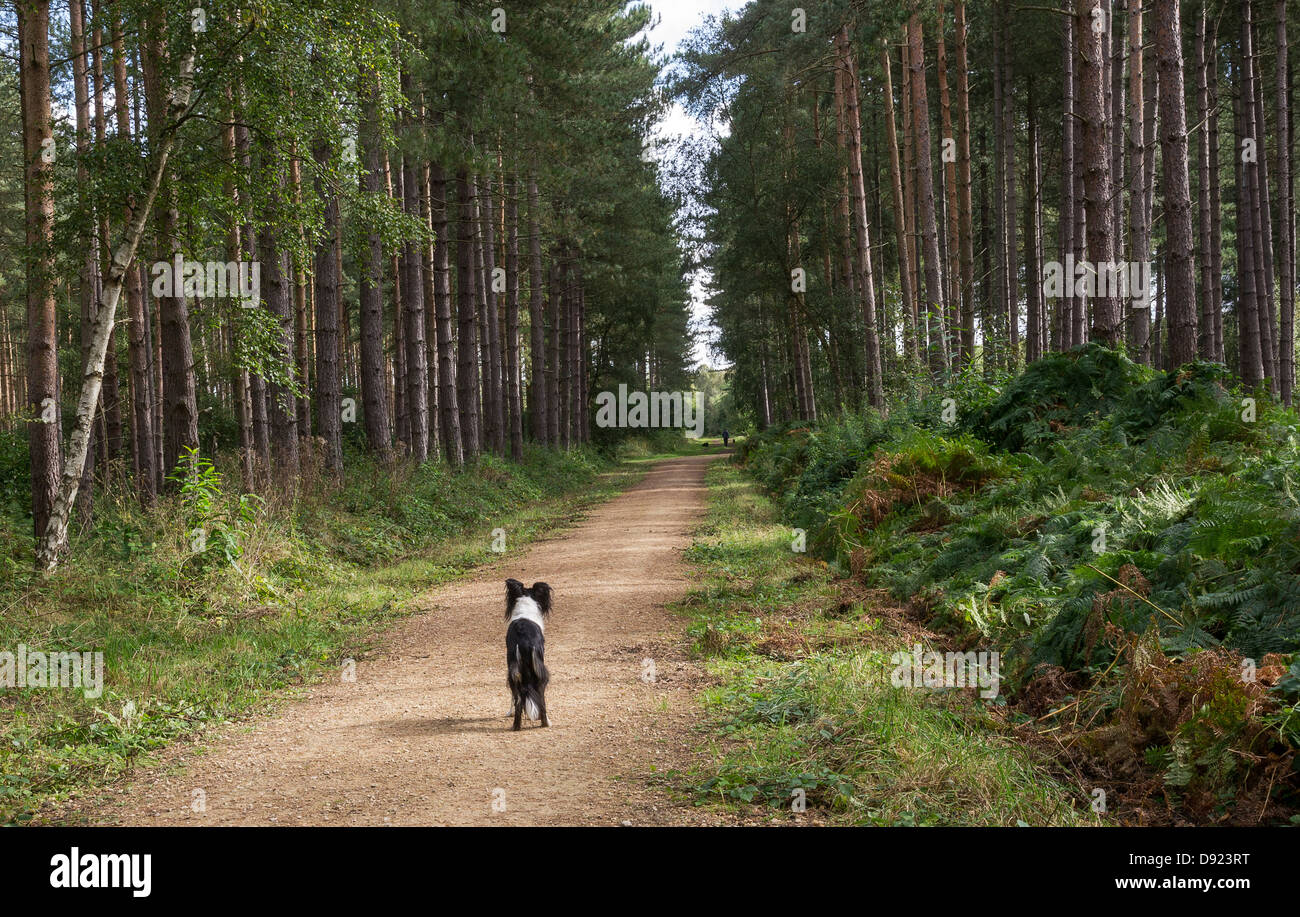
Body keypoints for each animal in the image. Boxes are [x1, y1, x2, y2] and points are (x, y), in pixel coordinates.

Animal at [504, 580, 551, 728]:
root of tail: (525, 640)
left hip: (514, 671)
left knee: (518, 698)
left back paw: (516, 726)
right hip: (540, 671)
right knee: (540, 696)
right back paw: (545, 722)